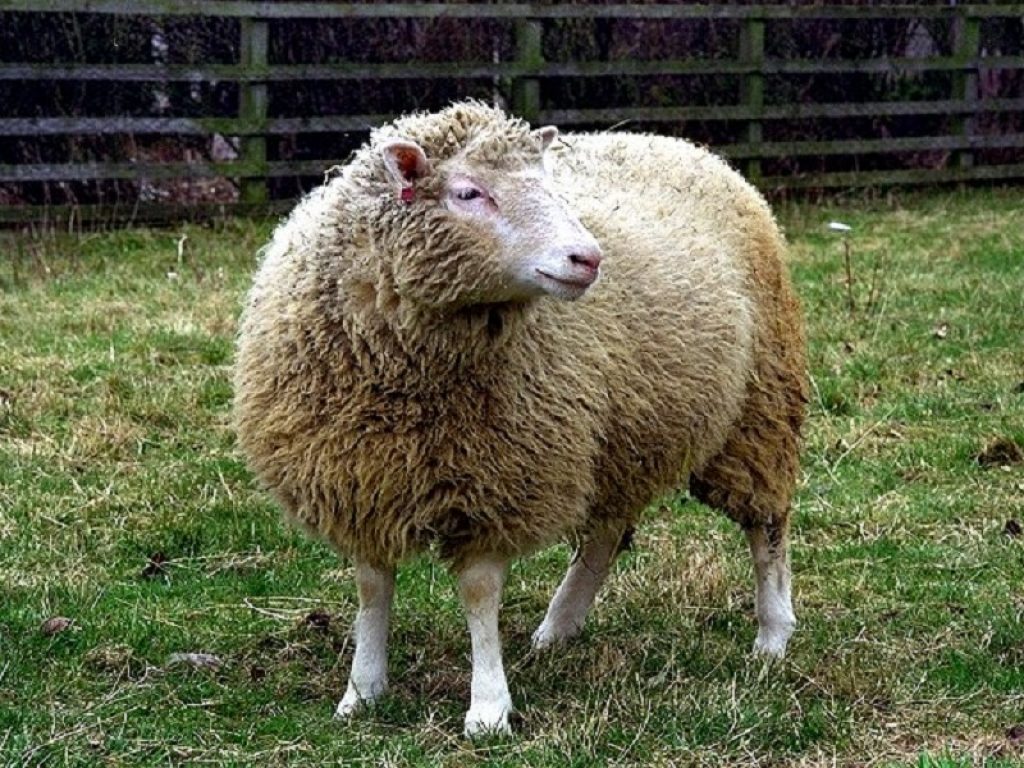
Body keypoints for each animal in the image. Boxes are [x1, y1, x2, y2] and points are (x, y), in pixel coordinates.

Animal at [233, 101, 807, 737]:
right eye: (467, 192)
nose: (588, 258)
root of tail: (673, 142)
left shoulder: (498, 478)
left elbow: (479, 593)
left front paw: (487, 708)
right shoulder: (361, 479)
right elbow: (371, 588)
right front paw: (362, 691)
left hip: (759, 405)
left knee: (766, 525)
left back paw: (773, 634)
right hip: (620, 432)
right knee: (606, 532)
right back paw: (558, 628)